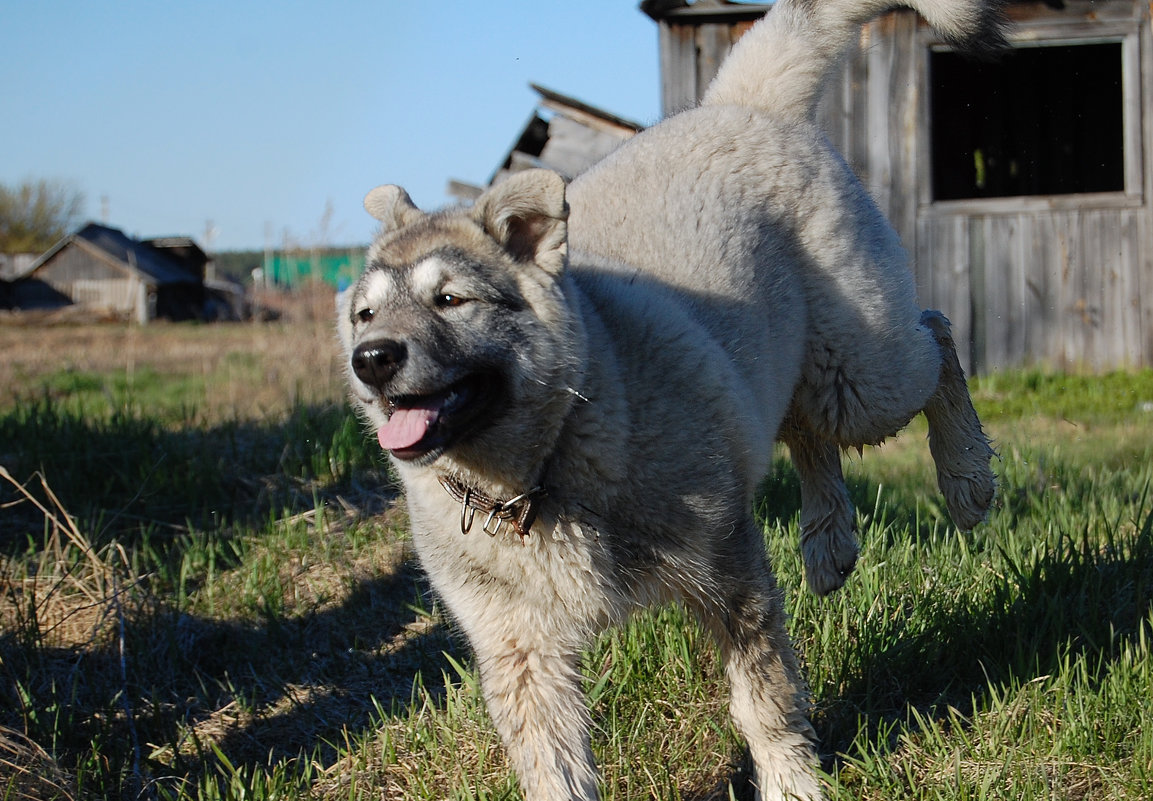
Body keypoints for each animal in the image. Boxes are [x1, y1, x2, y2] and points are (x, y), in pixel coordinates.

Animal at [338, 0, 1000, 797]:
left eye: (450, 299)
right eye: (366, 313)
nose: (371, 360)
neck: (543, 469)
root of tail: (741, 103)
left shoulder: (728, 570)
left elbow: (763, 699)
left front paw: (791, 782)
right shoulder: (519, 649)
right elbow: (553, 767)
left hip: (862, 371)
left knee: (935, 338)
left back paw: (966, 478)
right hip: (798, 364)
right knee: (806, 429)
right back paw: (828, 541)